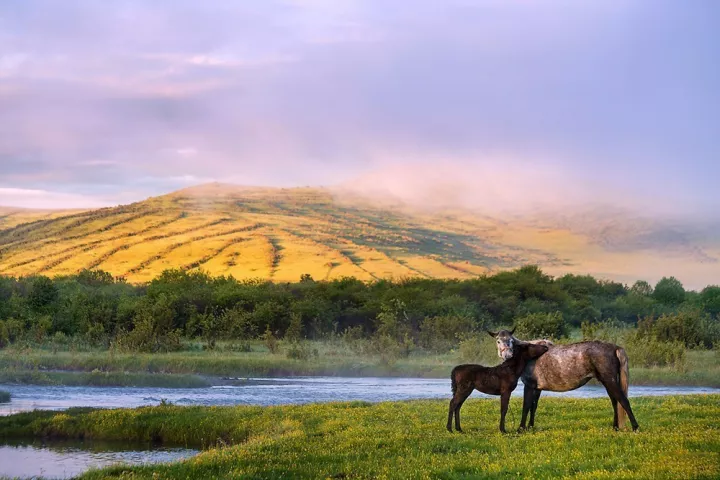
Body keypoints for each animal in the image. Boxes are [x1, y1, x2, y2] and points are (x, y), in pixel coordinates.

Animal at [486, 330, 640, 432]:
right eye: (498, 341)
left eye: (511, 341)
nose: (507, 355)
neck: (528, 354)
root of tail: (615, 347)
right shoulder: (537, 388)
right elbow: (534, 407)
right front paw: (530, 427)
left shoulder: (529, 386)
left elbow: (526, 407)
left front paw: (521, 428)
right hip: (607, 382)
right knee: (615, 402)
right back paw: (615, 427)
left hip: (610, 381)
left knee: (623, 401)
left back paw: (635, 427)